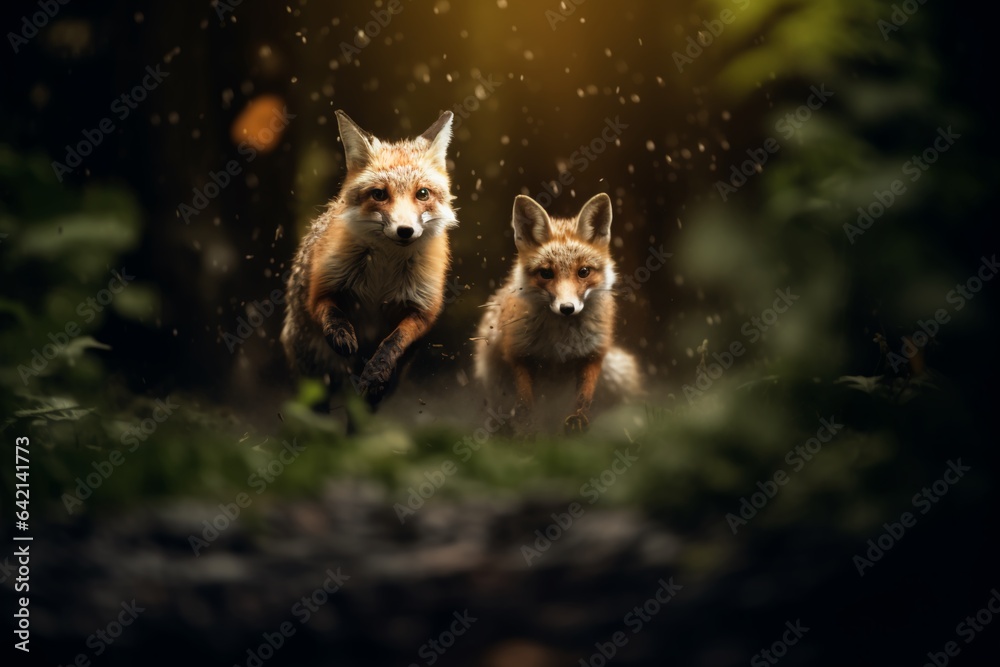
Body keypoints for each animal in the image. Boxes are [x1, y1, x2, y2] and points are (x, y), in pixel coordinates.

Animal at [281, 110, 457, 402]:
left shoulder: (422, 309)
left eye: (422, 194)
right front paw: (341, 335)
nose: (405, 230)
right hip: (314, 378)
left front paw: (377, 370)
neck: (383, 270)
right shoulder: (321, 289)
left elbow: (394, 340)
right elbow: (331, 312)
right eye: (379, 194)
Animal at [474, 193, 641, 435]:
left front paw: (578, 420)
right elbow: (525, 401)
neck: (560, 342)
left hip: (619, 373)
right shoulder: (518, 352)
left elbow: (583, 397)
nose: (567, 308)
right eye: (546, 273)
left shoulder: (594, 352)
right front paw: (528, 426)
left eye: (583, 272)